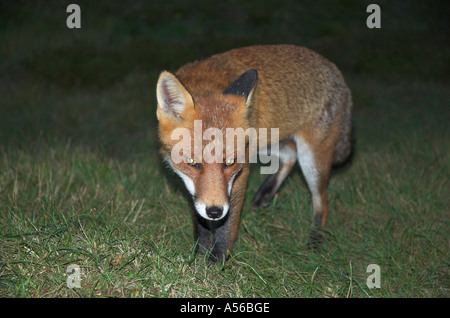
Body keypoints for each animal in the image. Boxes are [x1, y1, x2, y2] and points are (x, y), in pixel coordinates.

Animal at [156, 44, 354, 264]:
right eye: (192, 163)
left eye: (230, 162)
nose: (215, 211)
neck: (207, 83)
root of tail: (333, 69)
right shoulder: (193, 188)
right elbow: (200, 221)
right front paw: (200, 254)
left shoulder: (239, 176)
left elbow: (227, 226)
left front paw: (216, 262)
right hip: (264, 139)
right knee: (290, 154)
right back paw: (265, 194)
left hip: (311, 159)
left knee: (321, 200)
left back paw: (316, 240)